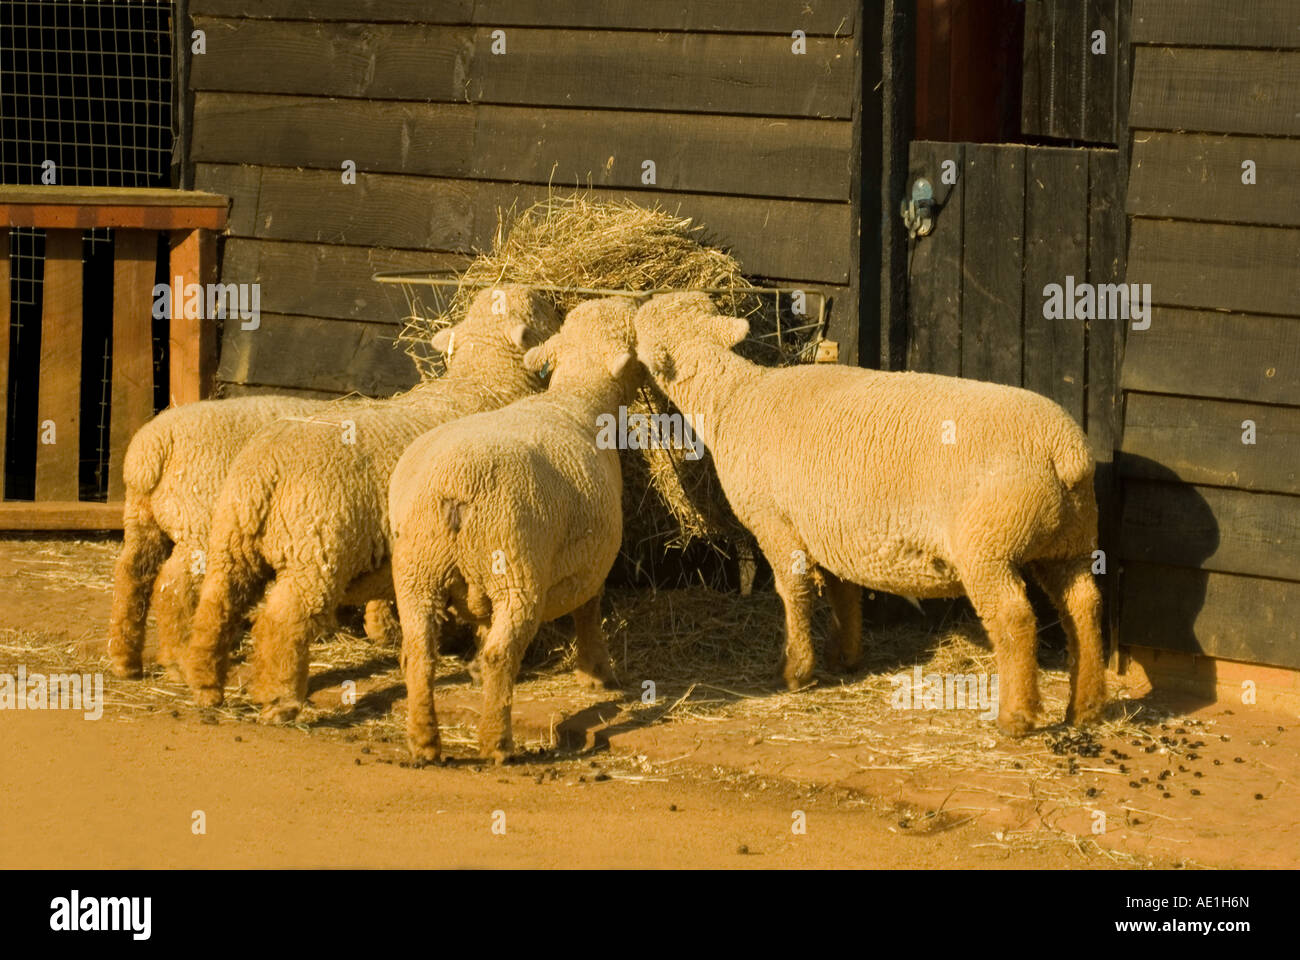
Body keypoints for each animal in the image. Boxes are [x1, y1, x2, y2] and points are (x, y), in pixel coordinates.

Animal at [107, 392, 400, 676]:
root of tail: (150, 447)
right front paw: (384, 628)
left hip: (143, 519)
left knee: (131, 572)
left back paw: (125, 661)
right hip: (196, 526)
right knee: (174, 583)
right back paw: (177, 661)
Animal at [184, 283, 564, 718]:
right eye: (541, 311)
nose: (557, 305)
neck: (484, 378)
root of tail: (267, 468)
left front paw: (388, 630)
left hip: (231, 538)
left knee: (216, 603)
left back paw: (205, 686)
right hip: (315, 552)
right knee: (281, 619)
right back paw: (280, 699)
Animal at [387, 295, 642, 759]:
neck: (575, 398)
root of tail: (456, 486)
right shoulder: (592, 559)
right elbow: (588, 609)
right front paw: (597, 673)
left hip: (417, 568)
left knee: (419, 652)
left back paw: (424, 741)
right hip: (516, 569)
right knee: (502, 654)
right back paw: (496, 742)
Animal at [634, 291, 1102, 733]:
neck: (733, 398)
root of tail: (1065, 452)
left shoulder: (774, 520)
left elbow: (793, 591)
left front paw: (795, 670)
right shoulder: (831, 527)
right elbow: (843, 591)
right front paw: (844, 656)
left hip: (989, 545)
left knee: (1014, 618)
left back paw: (1016, 717)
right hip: (1069, 543)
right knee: (1084, 606)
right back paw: (1085, 707)